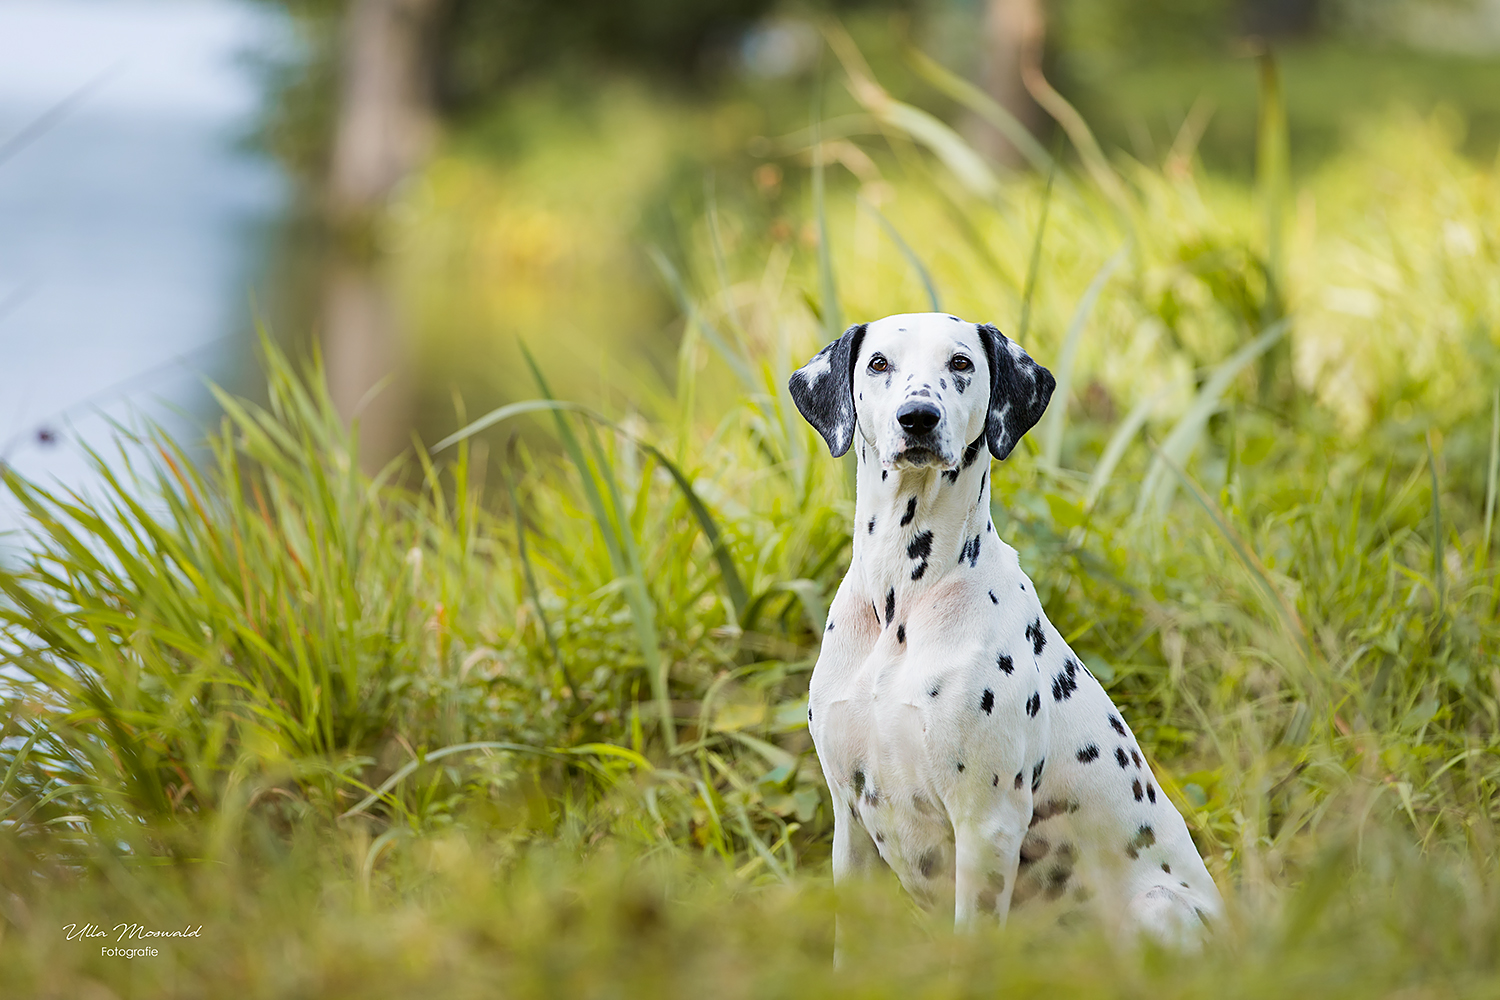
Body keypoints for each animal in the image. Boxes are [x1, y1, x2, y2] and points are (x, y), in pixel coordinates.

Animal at [786, 316, 1218, 953]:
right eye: (879, 363)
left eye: (961, 363)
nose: (918, 416)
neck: (904, 602)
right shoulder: (851, 820)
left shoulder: (986, 825)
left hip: (1159, 907)